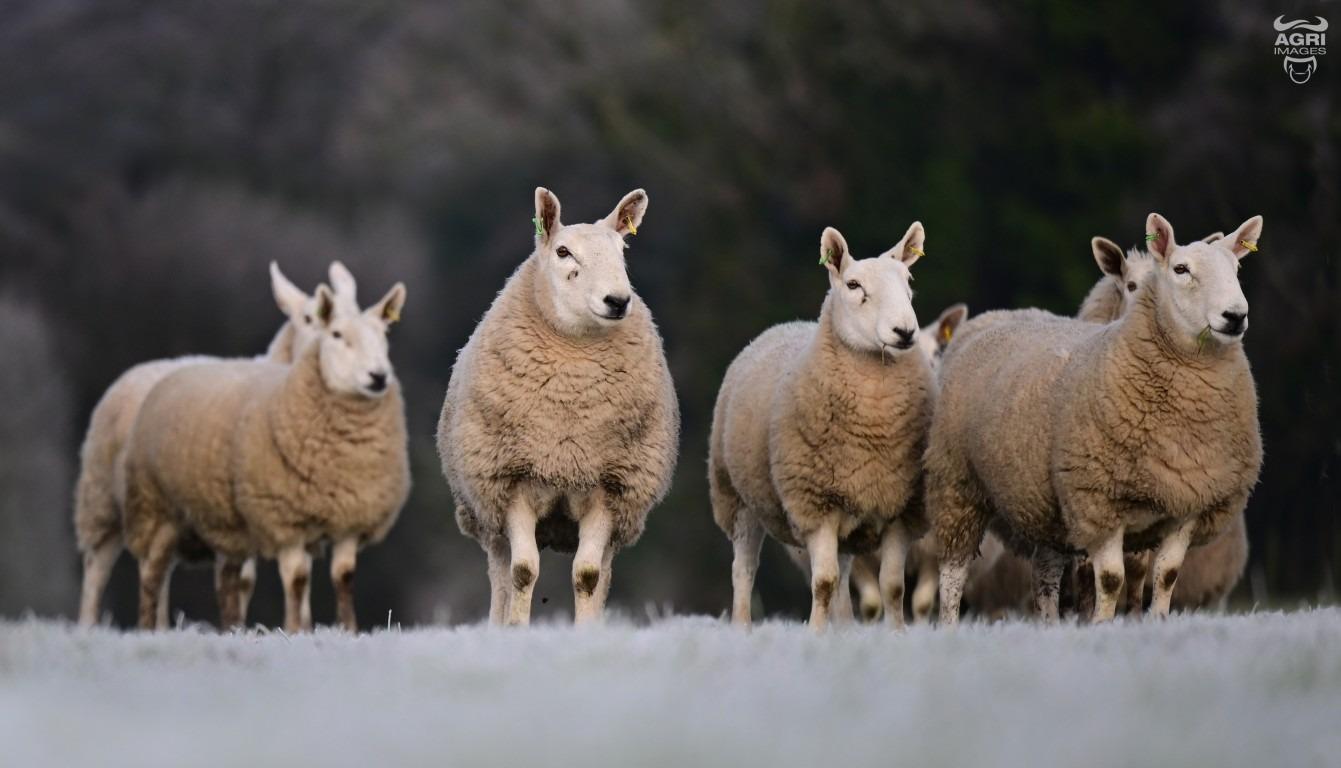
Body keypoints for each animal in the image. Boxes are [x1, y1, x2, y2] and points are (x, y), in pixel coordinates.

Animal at [73, 262, 349, 628]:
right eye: (307, 317)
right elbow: (243, 579)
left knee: (157, 570)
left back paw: (161, 627)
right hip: (103, 501)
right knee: (97, 569)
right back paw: (90, 624)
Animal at [121, 280, 409, 632]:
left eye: (385, 334)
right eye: (337, 334)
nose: (378, 376)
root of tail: (181, 366)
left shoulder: (351, 518)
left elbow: (343, 577)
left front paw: (347, 629)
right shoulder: (284, 518)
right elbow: (297, 580)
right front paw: (296, 630)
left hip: (224, 522)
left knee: (227, 579)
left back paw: (231, 628)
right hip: (157, 508)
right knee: (153, 575)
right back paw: (150, 627)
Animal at [438, 188, 679, 626]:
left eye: (623, 250)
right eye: (563, 252)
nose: (618, 301)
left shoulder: (608, 486)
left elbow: (588, 574)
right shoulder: (514, 480)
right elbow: (522, 571)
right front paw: (517, 628)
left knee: (603, 571)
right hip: (487, 511)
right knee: (501, 571)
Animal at [711, 223, 934, 630]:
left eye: (908, 280)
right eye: (853, 285)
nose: (904, 331)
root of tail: (786, 324)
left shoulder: (900, 508)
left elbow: (892, 587)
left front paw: (896, 635)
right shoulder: (815, 504)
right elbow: (823, 582)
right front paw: (815, 634)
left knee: (845, 581)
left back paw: (843, 628)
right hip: (737, 500)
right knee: (744, 571)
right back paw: (742, 626)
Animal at [929, 213, 1264, 625]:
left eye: (1236, 269)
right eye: (1181, 269)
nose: (1235, 316)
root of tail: (994, 317)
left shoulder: (1187, 502)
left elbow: (1165, 575)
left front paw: (1155, 622)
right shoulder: (1099, 500)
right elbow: (1108, 578)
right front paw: (1101, 624)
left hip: (1046, 504)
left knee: (1045, 575)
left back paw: (1050, 625)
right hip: (958, 483)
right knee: (953, 572)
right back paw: (949, 624)